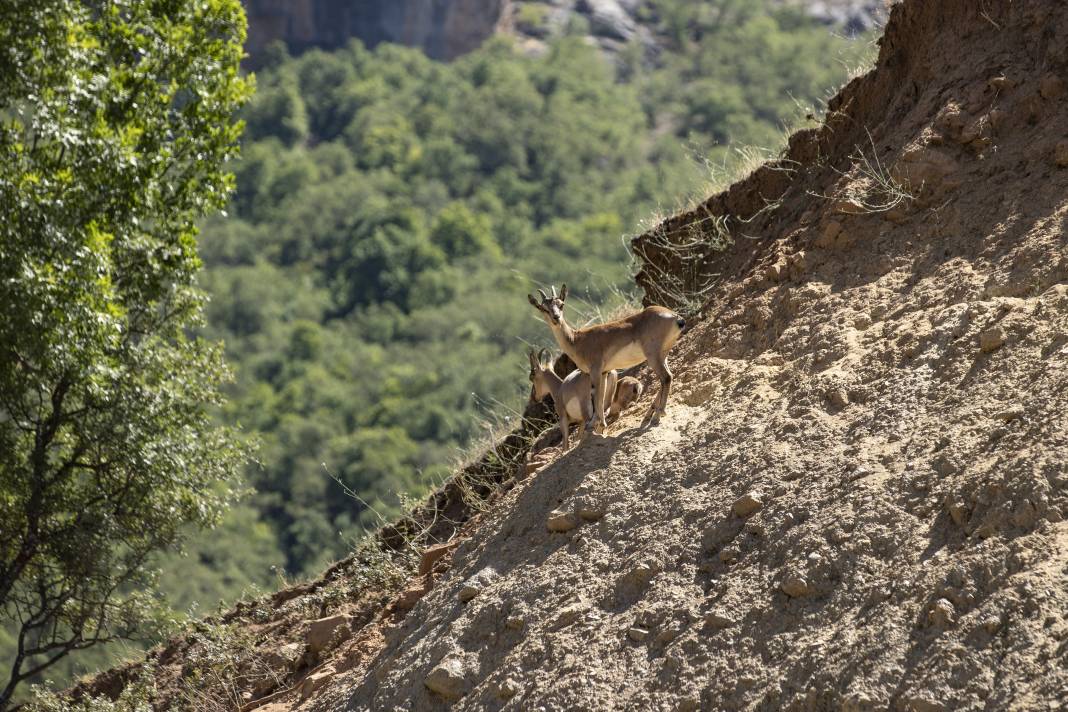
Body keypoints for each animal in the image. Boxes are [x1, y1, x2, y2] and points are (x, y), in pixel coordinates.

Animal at [525, 286, 683, 435]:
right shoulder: (604, 372)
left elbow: (598, 398)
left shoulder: (595, 372)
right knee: (668, 377)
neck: (577, 340)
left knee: (666, 377)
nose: (556, 318)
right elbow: (601, 398)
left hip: (653, 357)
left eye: (561, 304)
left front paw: (595, 425)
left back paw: (657, 416)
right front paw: (599, 425)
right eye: (543, 308)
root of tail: (676, 317)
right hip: (663, 356)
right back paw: (649, 415)